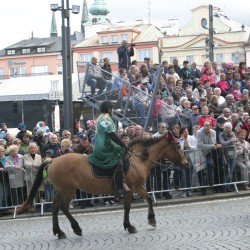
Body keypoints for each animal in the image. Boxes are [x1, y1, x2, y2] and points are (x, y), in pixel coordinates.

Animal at [17, 131, 188, 238]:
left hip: (61, 190)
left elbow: (149, 199)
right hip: (69, 190)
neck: (138, 159)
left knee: (54, 207)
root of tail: (52, 160)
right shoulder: (129, 189)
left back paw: (59, 232)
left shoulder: (138, 187)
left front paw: (152, 219)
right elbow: (127, 207)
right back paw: (76, 228)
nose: (186, 164)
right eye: (178, 146)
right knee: (63, 207)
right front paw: (129, 226)